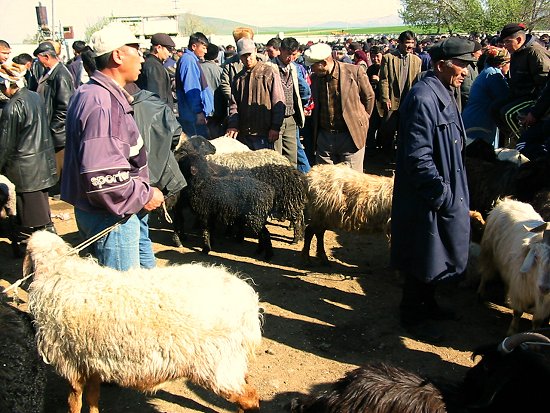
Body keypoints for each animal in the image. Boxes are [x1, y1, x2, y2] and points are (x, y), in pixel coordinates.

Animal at [26, 230, 266, 412]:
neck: (60, 272)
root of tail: (247, 299)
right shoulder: (91, 360)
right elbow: (93, 398)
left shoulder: (70, 360)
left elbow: (74, 401)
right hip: (232, 361)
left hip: (216, 364)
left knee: (251, 397)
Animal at [478, 196, 550, 334]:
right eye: (536, 257)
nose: (544, 288)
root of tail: (507, 201)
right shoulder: (520, 290)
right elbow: (518, 312)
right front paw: (511, 332)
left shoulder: (544, 303)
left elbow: (537, 321)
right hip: (488, 253)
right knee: (485, 274)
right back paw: (480, 293)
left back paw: (506, 300)